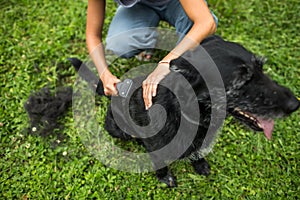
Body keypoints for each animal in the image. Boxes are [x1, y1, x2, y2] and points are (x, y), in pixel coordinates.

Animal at [26, 35, 300, 187]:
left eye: (261, 68)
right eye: (241, 82)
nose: (295, 104)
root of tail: (115, 90)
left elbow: (197, 153)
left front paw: (200, 164)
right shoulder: (156, 146)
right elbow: (160, 162)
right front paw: (165, 177)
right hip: (117, 129)